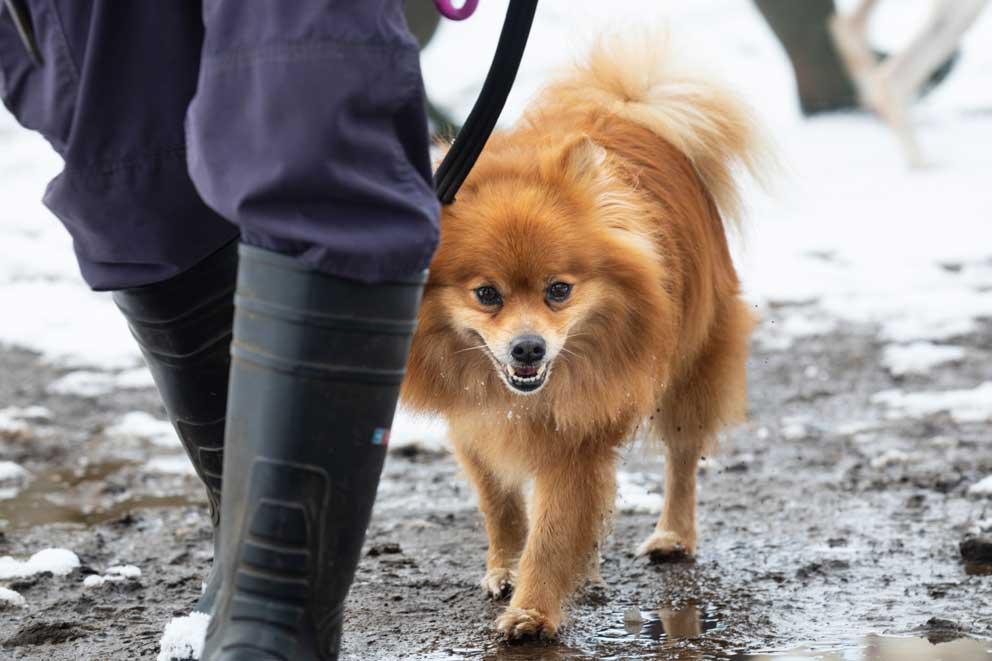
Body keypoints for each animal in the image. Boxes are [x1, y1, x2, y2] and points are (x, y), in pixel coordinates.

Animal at [402, 34, 768, 640]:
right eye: (487, 294)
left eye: (558, 290)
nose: (529, 347)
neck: (521, 401)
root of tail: (630, 108)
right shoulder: (474, 423)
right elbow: (501, 506)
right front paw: (506, 568)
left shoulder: (578, 437)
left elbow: (553, 532)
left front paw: (531, 611)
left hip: (691, 371)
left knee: (681, 460)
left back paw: (673, 536)